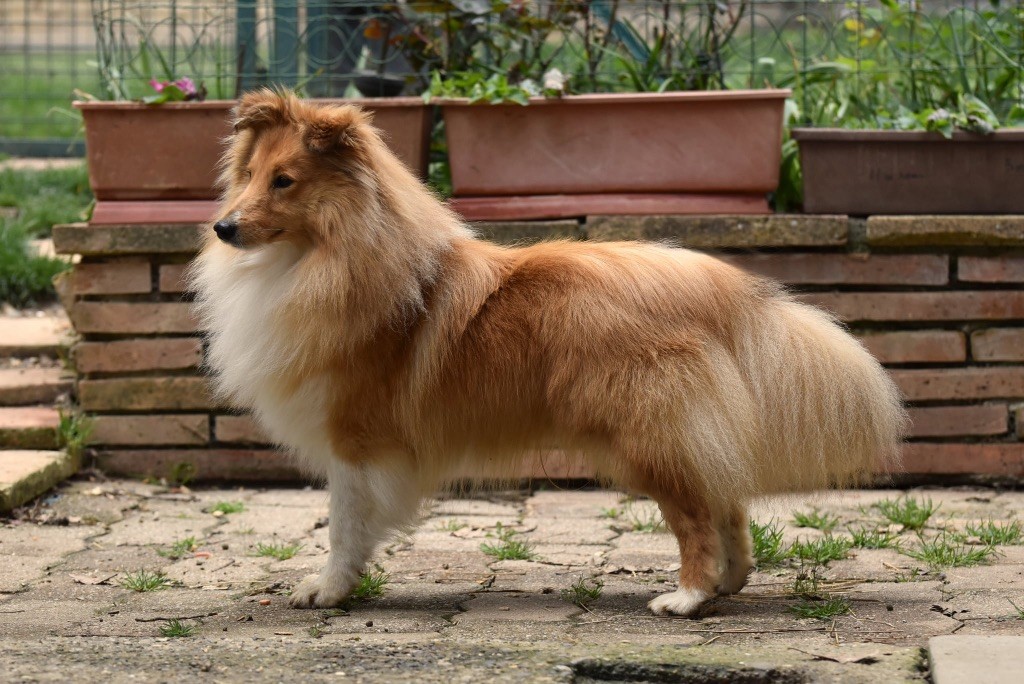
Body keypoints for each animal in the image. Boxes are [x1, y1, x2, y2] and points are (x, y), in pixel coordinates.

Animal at [191, 89, 905, 617]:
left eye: (285, 182)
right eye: (248, 176)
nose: (224, 227)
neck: (324, 258)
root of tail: (722, 286)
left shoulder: (355, 439)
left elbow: (343, 523)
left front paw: (328, 590)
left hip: (649, 433)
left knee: (698, 513)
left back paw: (686, 597)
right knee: (726, 500)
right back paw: (728, 584)